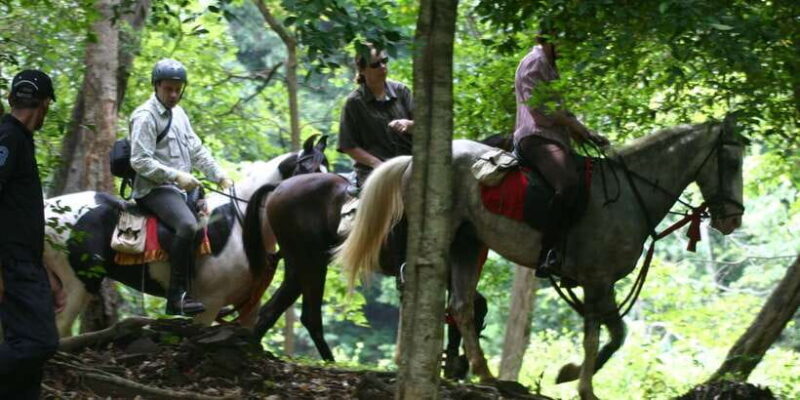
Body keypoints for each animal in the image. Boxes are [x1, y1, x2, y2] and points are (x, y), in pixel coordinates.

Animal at [43, 135, 329, 336]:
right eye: (310, 171)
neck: (240, 226)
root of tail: (48, 209)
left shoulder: (249, 307)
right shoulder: (209, 303)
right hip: (77, 283)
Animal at [337, 119, 746, 399]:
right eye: (731, 161)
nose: (733, 219)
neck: (630, 195)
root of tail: (414, 161)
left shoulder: (602, 285)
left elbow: (613, 335)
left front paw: (570, 374)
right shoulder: (597, 282)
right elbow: (599, 337)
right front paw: (582, 386)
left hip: (467, 245)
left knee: (461, 307)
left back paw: (485, 375)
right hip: (440, 239)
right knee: (422, 289)